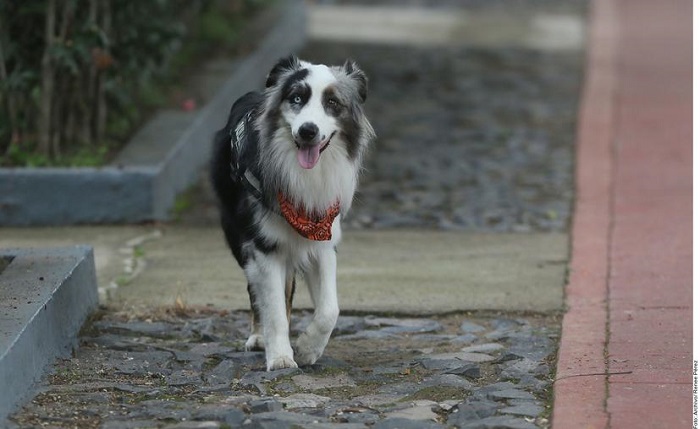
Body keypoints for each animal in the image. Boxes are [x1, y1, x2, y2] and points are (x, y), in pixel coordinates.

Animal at [211, 55, 374, 370]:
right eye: (297, 98)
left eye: (332, 102)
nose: (307, 131)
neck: (304, 175)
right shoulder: (264, 245)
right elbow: (273, 306)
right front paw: (281, 357)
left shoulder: (323, 236)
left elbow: (330, 309)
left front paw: (309, 348)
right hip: (237, 233)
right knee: (256, 289)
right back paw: (259, 336)